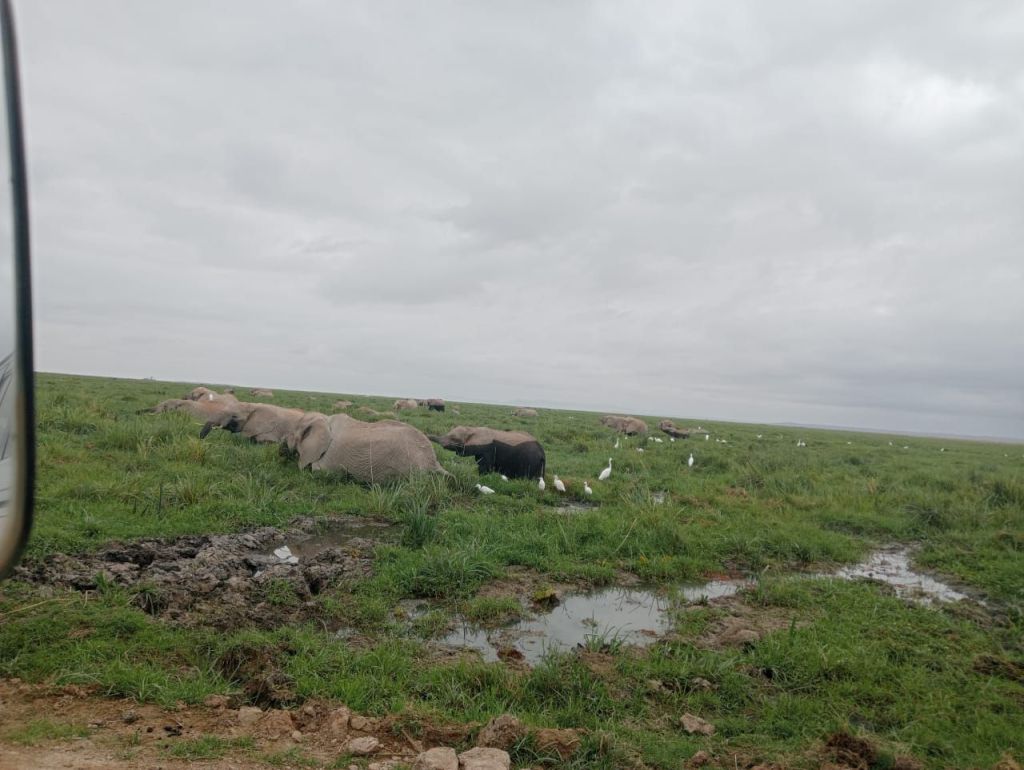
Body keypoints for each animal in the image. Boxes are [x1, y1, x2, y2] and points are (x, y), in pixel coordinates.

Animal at [285, 412, 446, 483]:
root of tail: (434, 462)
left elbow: (316, 469)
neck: (325, 419)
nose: (282, 451)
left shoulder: (330, 456)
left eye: (293, 435)